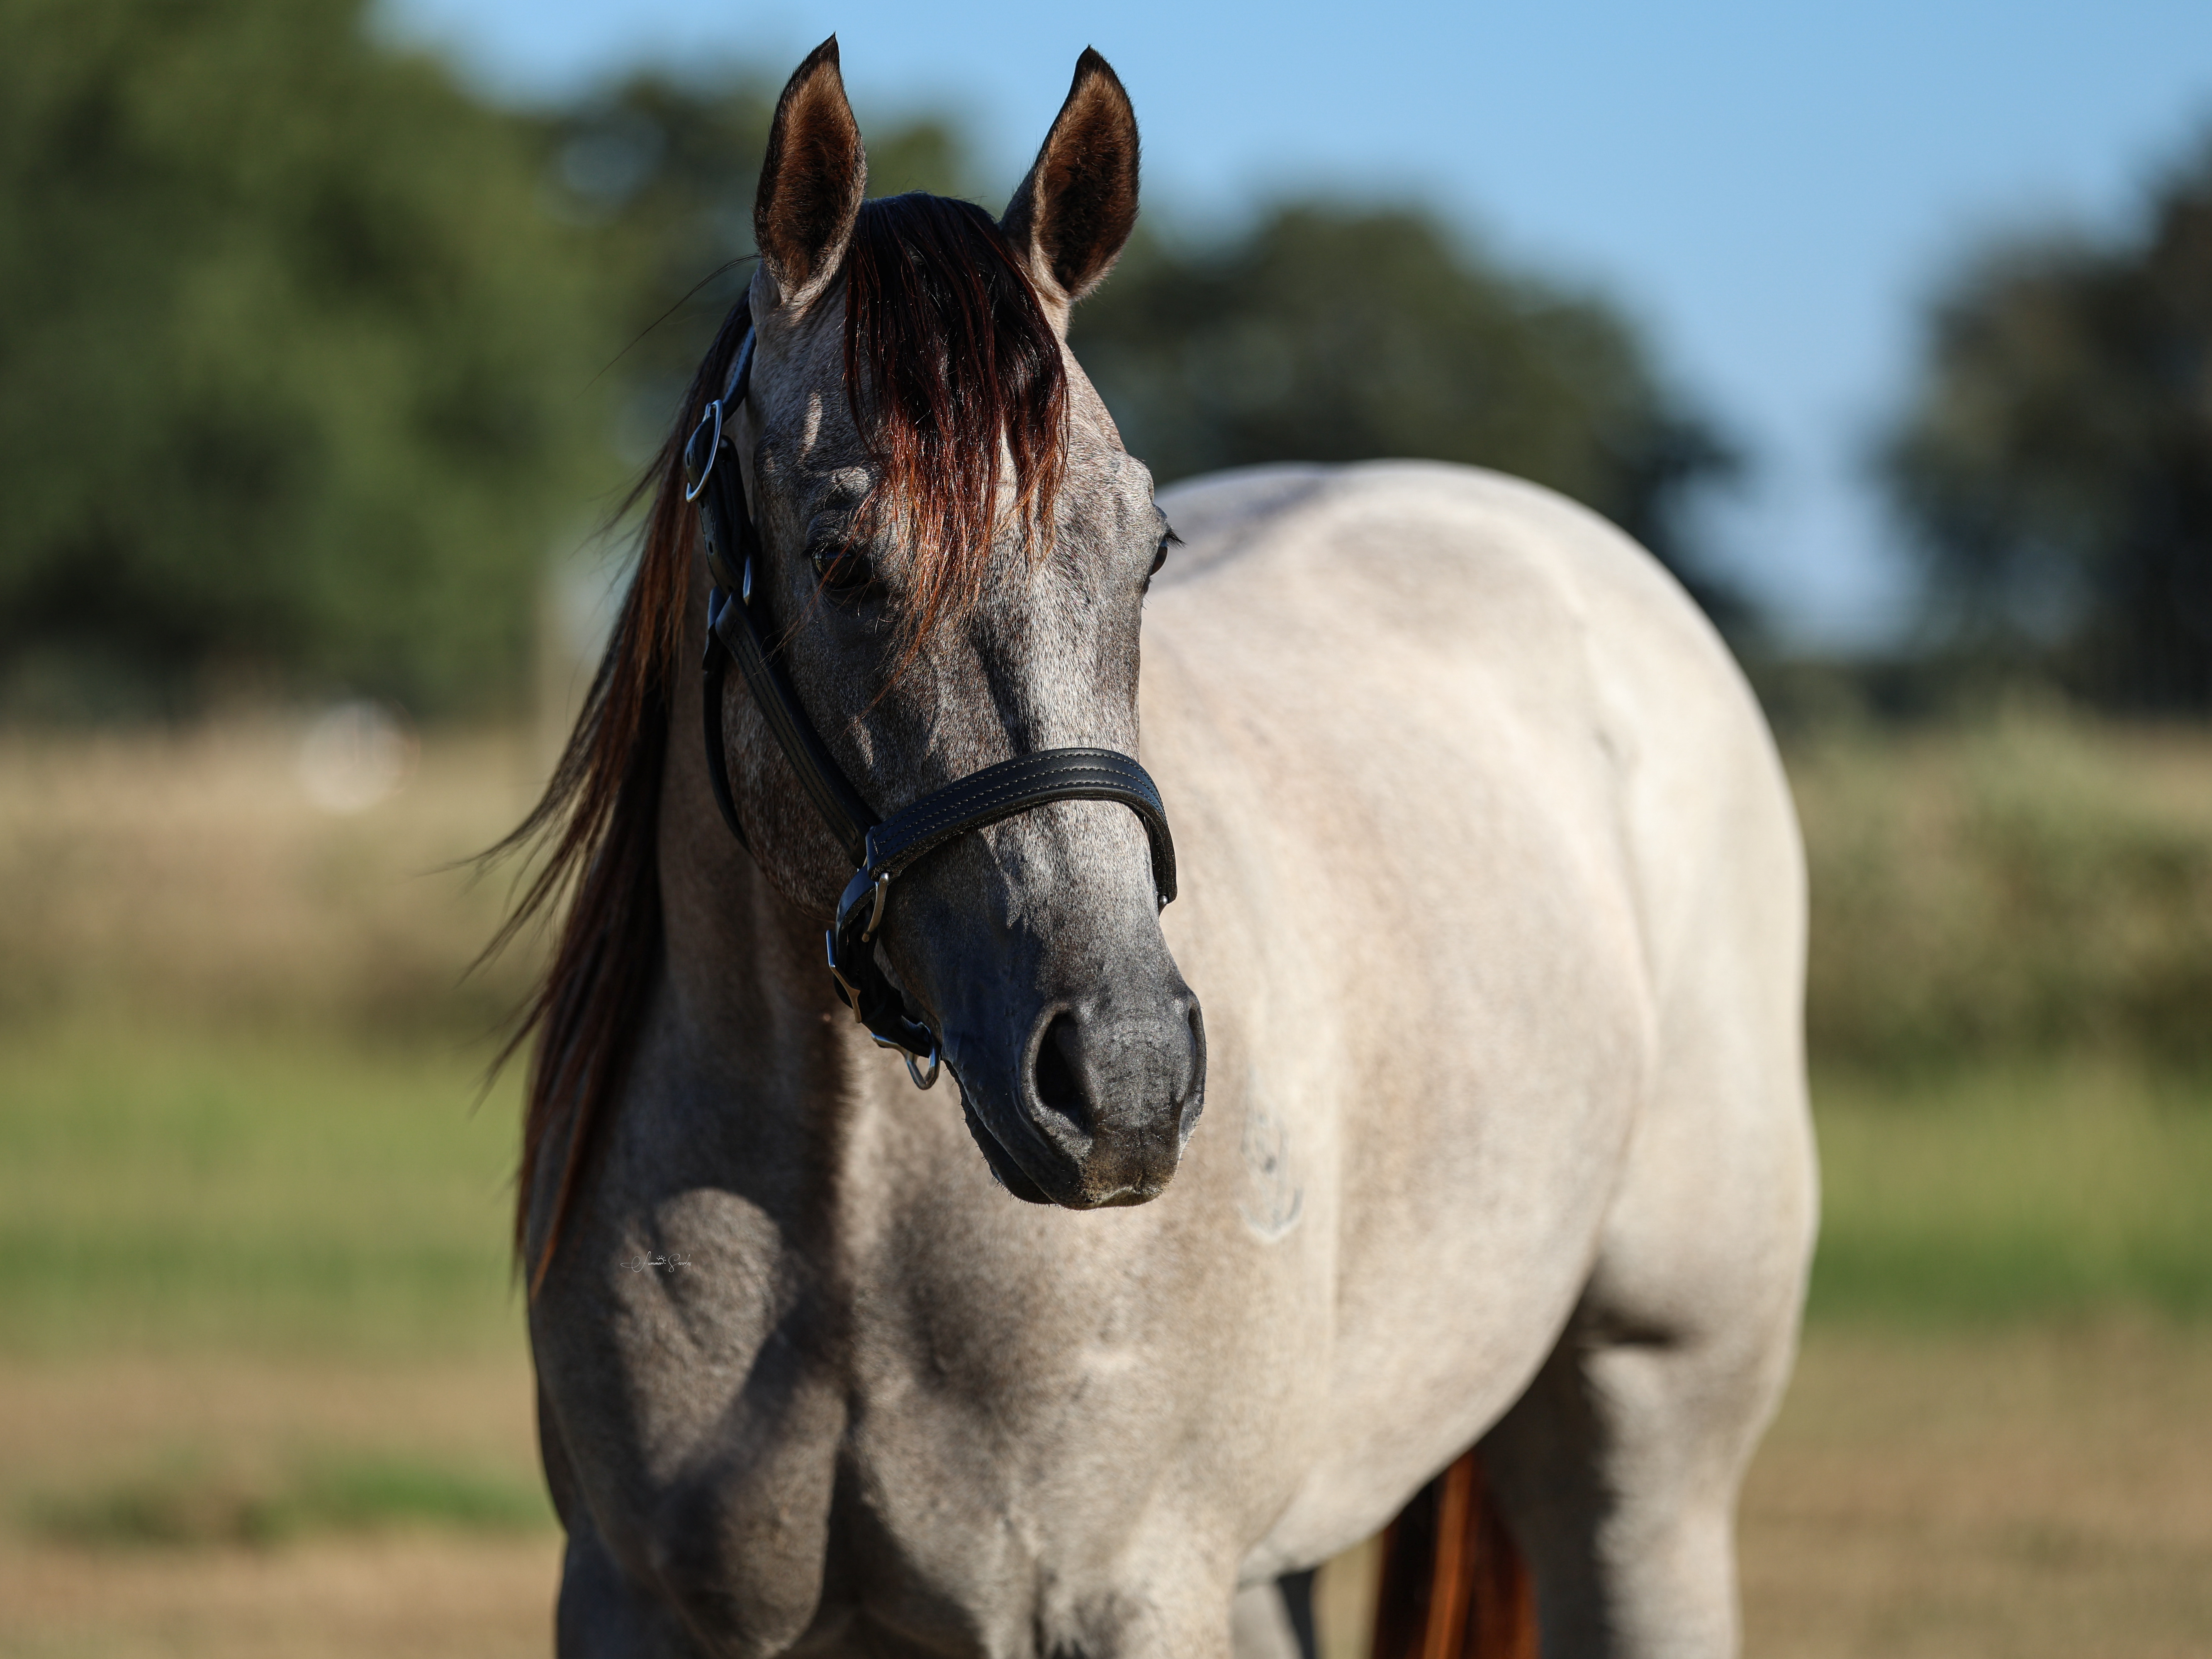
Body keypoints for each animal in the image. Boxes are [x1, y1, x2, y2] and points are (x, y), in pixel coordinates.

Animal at [501, 37, 1816, 1659]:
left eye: (1146, 553)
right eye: (842, 559)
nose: (1119, 1078)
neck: (845, 1220)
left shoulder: (1121, 1599)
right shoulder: (634, 1603)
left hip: (1645, 1446)